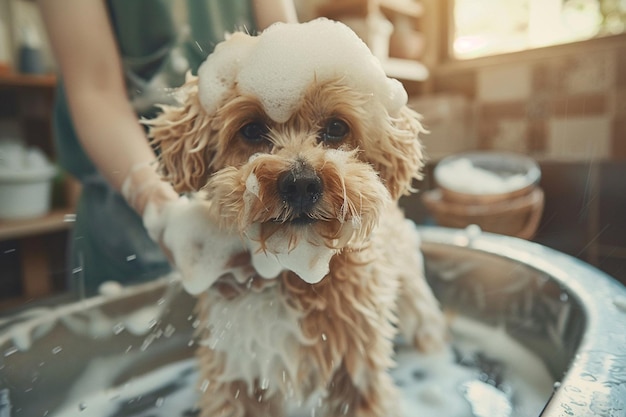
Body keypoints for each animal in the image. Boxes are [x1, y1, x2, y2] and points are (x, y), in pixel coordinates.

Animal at [147, 17, 448, 416]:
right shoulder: (234, 372)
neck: (294, 272)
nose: (301, 183)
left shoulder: (358, 373)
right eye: (251, 129)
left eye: (336, 127)